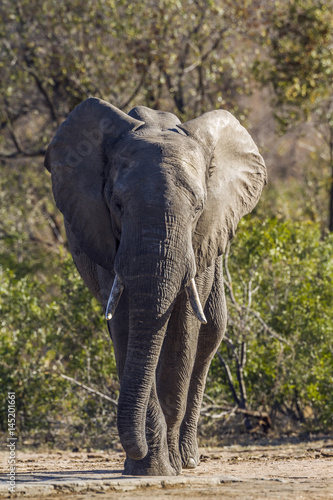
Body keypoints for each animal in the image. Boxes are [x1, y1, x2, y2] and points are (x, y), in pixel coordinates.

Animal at [44, 97, 268, 476]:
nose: (136, 450)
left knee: (212, 333)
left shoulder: (201, 240)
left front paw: (169, 466)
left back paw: (187, 459)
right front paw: (149, 469)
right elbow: (125, 326)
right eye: (117, 205)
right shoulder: (110, 243)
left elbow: (183, 332)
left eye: (198, 207)